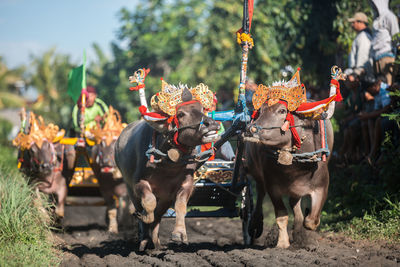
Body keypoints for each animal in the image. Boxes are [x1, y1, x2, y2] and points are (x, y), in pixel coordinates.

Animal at [115, 96, 220, 251]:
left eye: (202, 109)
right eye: (181, 114)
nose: (211, 124)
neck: (168, 165)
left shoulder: (185, 185)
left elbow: (181, 207)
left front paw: (179, 233)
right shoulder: (138, 183)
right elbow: (149, 202)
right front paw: (145, 217)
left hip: (165, 198)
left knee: (158, 216)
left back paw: (156, 243)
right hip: (130, 189)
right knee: (143, 210)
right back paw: (144, 240)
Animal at [242, 102, 332, 249]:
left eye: (282, 111)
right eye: (261, 110)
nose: (250, 129)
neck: (296, 167)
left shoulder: (321, 186)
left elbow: (311, 221)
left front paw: (302, 233)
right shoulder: (273, 188)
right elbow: (282, 216)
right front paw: (283, 243)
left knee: (295, 205)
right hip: (257, 174)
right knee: (260, 194)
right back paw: (255, 224)